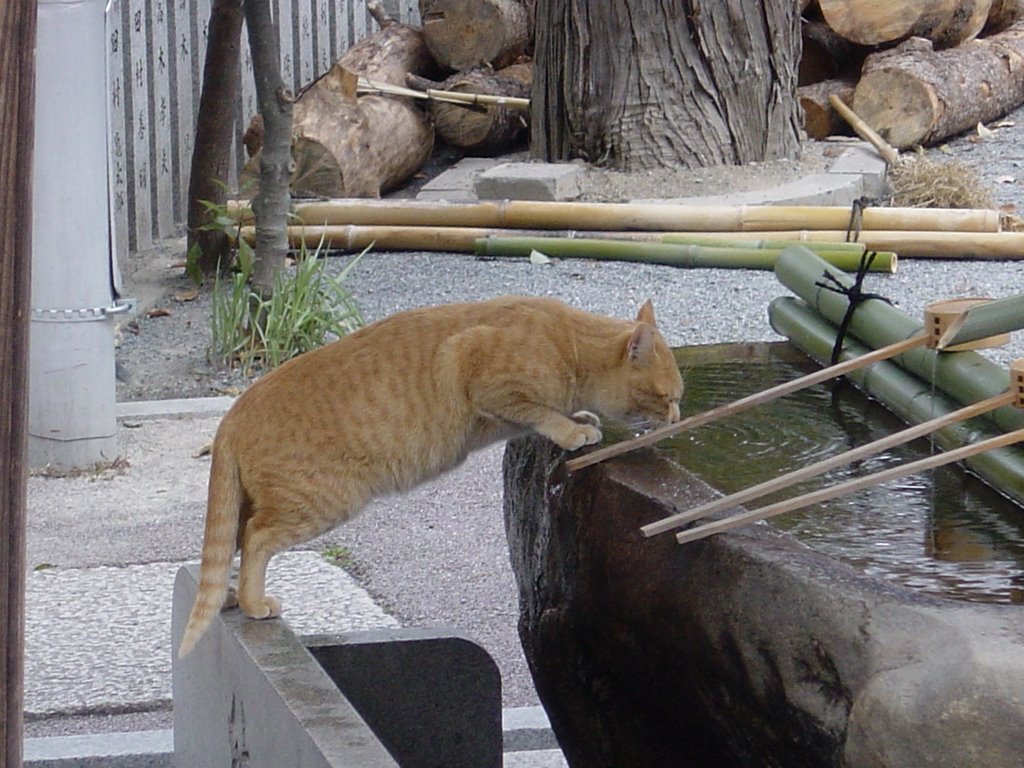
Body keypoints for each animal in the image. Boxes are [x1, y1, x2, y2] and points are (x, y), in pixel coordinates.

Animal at [180, 294, 684, 655]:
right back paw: (253, 603)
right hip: (321, 502)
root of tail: (231, 416)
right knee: (256, 538)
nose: (679, 417)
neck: (571, 343)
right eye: (668, 397)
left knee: (231, 545)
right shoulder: (481, 372)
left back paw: (230, 595)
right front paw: (574, 429)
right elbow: (542, 415)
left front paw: (580, 417)